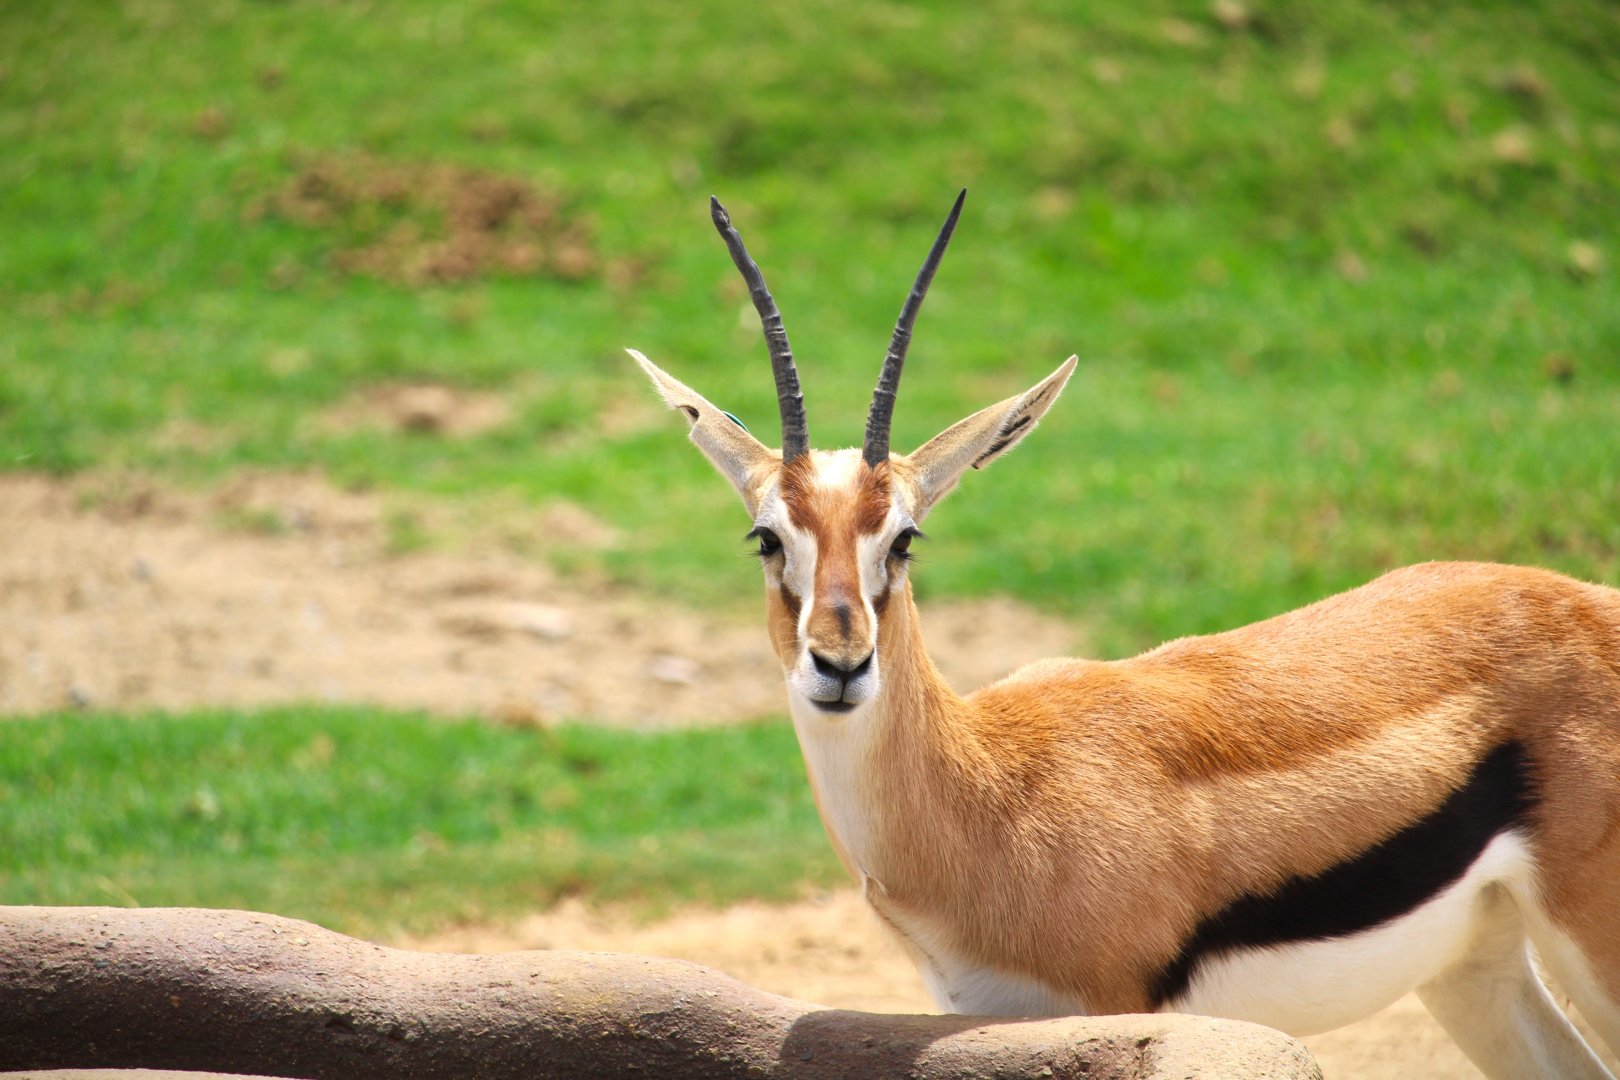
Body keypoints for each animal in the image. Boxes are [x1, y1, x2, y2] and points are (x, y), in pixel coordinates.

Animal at [629, 191, 1620, 1079]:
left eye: (903, 539)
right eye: (767, 537)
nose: (840, 665)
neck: (990, 793)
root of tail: (1583, 603)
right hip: (1473, 970)